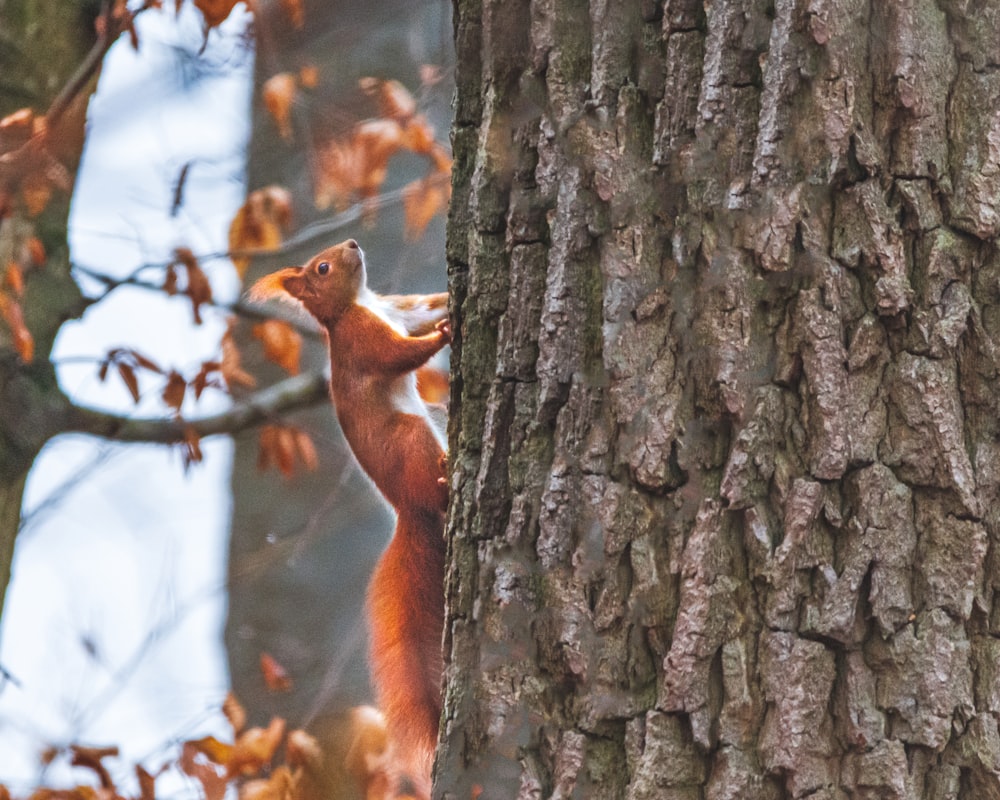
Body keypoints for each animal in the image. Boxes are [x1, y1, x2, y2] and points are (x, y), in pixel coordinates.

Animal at [250, 241, 450, 796]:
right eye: (321, 268)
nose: (353, 245)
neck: (355, 306)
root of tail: (409, 511)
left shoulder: (395, 309)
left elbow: (423, 307)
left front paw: (451, 298)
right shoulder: (364, 339)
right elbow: (399, 354)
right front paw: (447, 333)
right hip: (411, 438)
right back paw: (449, 477)